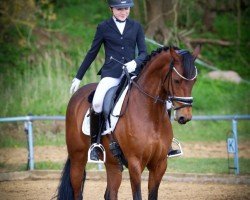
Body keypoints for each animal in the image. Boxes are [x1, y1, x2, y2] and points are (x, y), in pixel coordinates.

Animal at [55, 45, 200, 200]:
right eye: (177, 80)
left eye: (194, 81)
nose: (185, 117)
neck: (150, 114)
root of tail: (77, 95)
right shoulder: (135, 163)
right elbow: (137, 195)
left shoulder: (160, 164)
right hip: (78, 158)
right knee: (77, 191)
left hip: (112, 162)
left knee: (110, 193)